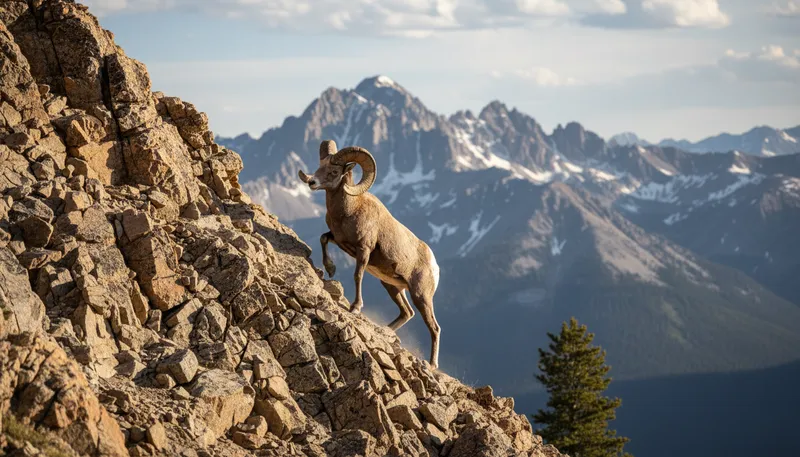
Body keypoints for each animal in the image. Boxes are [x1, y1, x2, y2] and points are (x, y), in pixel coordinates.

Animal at [298, 139, 442, 369]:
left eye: (334, 171)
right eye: (320, 166)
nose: (312, 182)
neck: (349, 210)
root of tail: (434, 266)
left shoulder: (363, 251)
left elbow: (358, 276)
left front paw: (355, 308)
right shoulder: (337, 239)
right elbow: (322, 239)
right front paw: (330, 269)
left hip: (421, 296)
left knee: (434, 327)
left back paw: (432, 364)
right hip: (392, 287)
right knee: (407, 313)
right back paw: (385, 331)